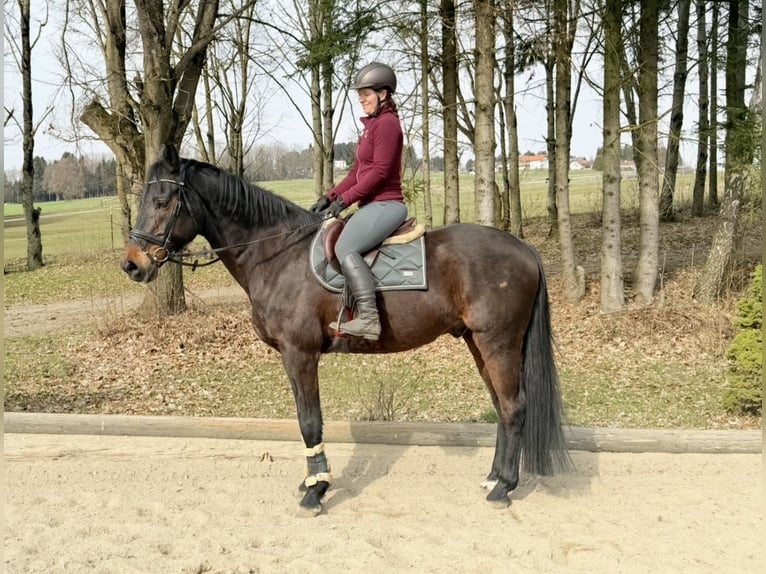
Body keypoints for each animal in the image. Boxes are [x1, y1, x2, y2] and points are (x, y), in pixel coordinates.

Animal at [122, 143, 572, 514]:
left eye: (162, 200)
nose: (132, 264)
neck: (277, 253)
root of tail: (522, 248)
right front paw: (312, 481)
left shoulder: (299, 354)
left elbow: (309, 420)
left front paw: (316, 490)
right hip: (479, 344)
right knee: (501, 406)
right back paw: (494, 478)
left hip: (498, 342)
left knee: (514, 407)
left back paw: (504, 487)